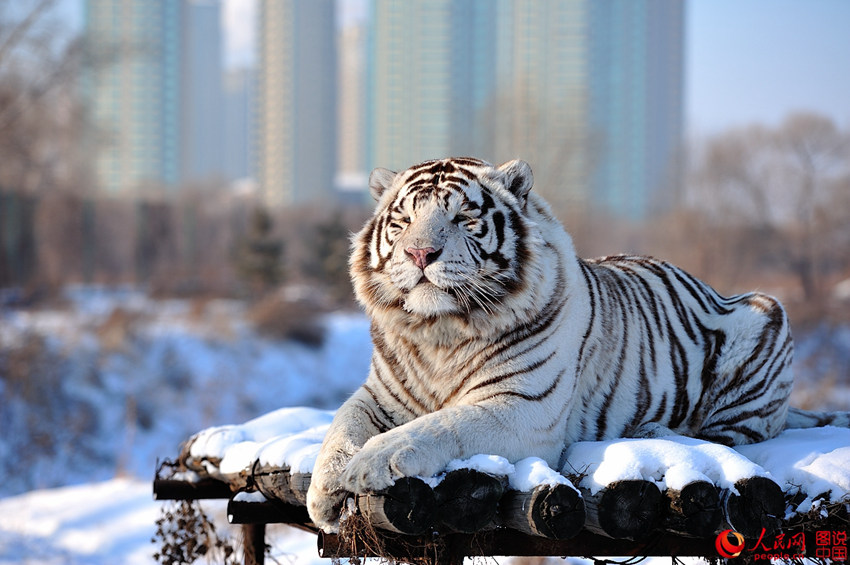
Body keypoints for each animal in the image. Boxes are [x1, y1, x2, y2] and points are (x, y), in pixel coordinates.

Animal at [308, 155, 844, 528]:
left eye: (463, 219)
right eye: (401, 222)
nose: (420, 253)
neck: (439, 332)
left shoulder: (523, 406)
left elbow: (439, 426)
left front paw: (370, 463)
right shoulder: (379, 395)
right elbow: (341, 426)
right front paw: (325, 490)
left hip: (765, 313)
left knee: (731, 435)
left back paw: (655, 431)